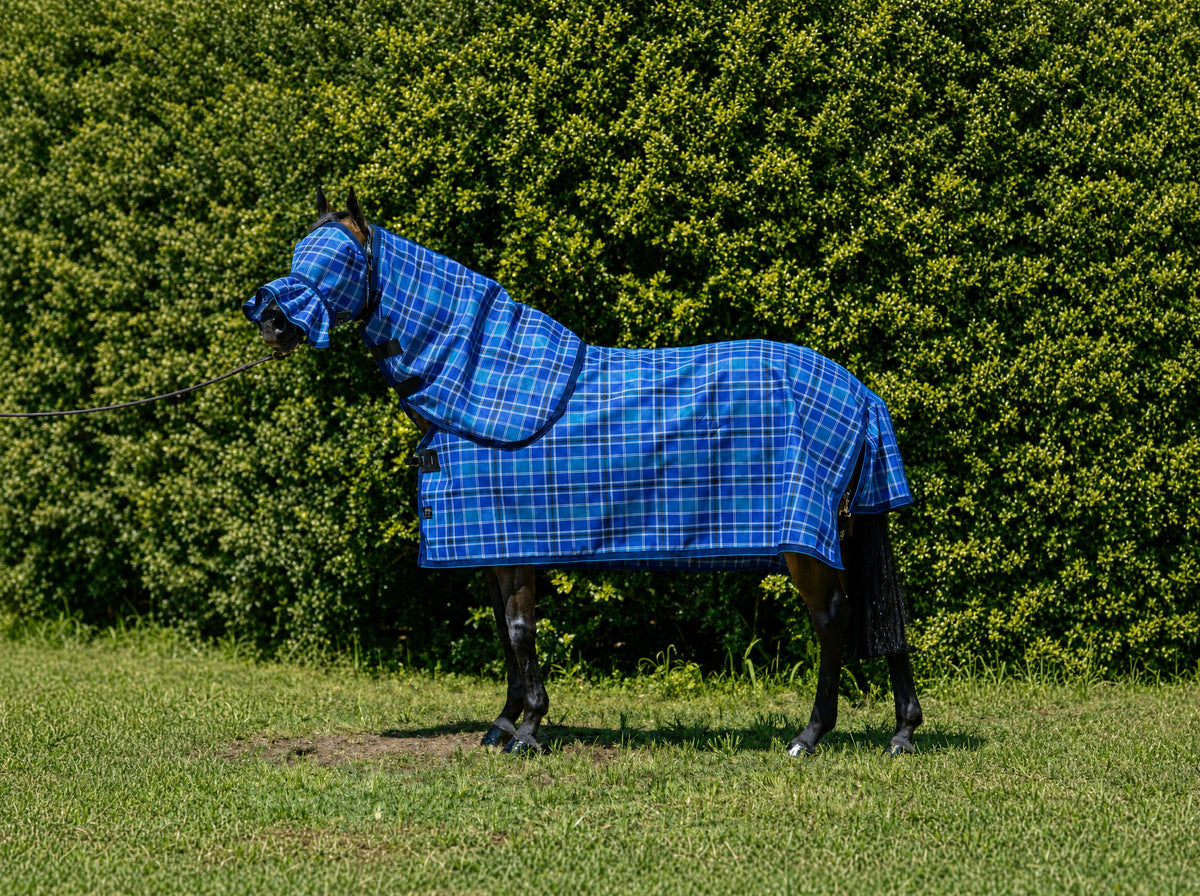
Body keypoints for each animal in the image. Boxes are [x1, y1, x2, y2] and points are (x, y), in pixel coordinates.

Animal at [247, 189, 924, 758]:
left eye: (338, 260)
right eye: (299, 252)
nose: (271, 321)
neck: (477, 381)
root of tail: (858, 391)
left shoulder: (515, 542)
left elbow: (520, 631)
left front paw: (527, 730)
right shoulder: (495, 547)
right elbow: (505, 634)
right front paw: (504, 723)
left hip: (803, 542)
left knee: (833, 620)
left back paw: (810, 736)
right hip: (843, 528)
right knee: (877, 618)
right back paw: (901, 733)